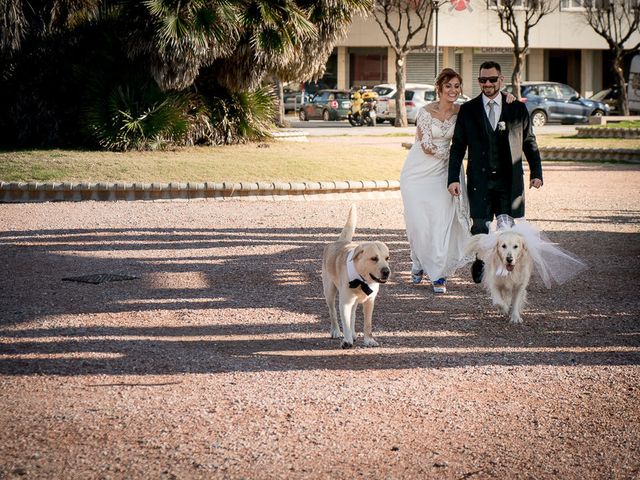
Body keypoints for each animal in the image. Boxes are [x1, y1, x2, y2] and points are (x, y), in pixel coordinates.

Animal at [320, 204, 390, 346]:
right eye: (374, 258)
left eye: (387, 258)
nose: (386, 271)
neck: (361, 280)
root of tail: (341, 241)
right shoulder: (345, 303)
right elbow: (345, 322)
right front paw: (347, 341)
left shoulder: (369, 301)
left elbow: (367, 324)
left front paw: (369, 340)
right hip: (329, 291)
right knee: (332, 312)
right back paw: (335, 331)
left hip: (354, 301)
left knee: (352, 315)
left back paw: (353, 334)